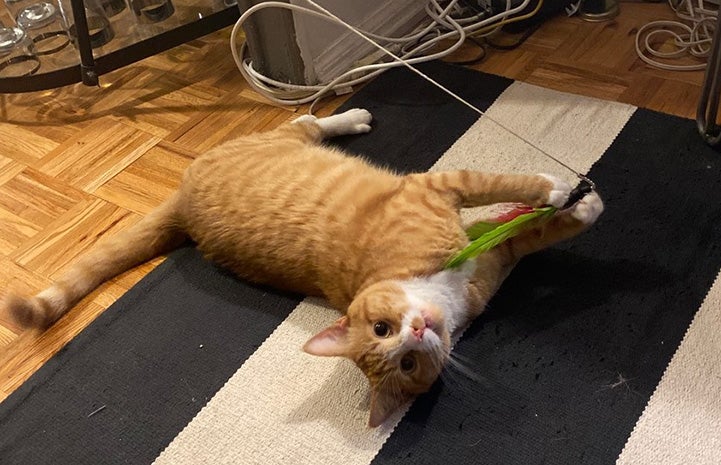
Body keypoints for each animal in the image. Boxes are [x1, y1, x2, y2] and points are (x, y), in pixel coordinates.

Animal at [2, 107, 600, 426]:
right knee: (305, 119)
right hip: (283, 141)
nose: (416, 331)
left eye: (384, 329)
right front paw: (576, 203)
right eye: (402, 359)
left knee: (308, 117)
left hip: (284, 141)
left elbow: (511, 192)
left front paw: (560, 193)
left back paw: (350, 117)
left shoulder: (449, 196)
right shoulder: (480, 247)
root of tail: (183, 205)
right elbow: (529, 228)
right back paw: (352, 116)